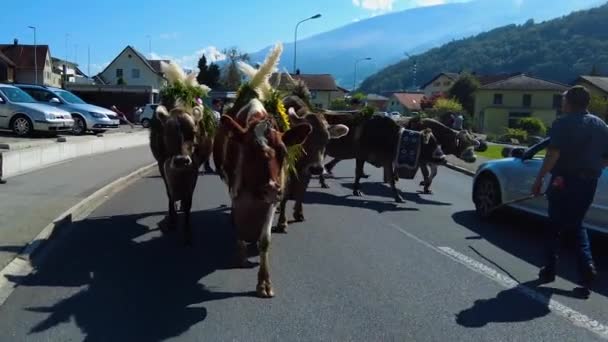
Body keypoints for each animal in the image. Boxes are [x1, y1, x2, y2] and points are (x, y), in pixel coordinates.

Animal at [148, 105, 213, 246]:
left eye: (193, 132)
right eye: (167, 132)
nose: (181, 160)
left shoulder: (193, 168)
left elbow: (188, 200)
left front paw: (187, 232)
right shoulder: (162, 165)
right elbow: (170, 195)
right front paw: (172, 220)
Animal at [214, 97, 312, 298]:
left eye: (283, 152)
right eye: (249, 150)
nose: (272, 188)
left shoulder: (272, 201)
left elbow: (265, 240)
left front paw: (264, 282)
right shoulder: (235, 192)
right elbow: (239, 226)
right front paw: (241, 257)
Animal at [274, 99, 350, 232]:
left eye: (327, 140)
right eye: (306, 138)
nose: (317, 169)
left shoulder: (306, 172)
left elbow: (302, 191)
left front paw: (299, 213)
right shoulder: (287, 170)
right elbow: (285, 194)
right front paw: (282, 222)